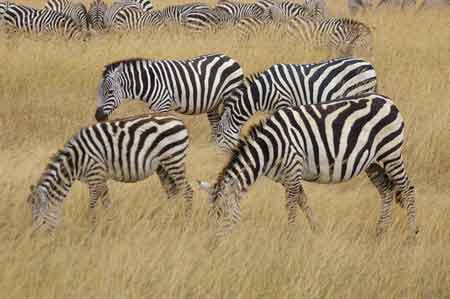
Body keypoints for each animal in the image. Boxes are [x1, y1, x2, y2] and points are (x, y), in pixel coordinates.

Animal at [26, 115, 193, 232]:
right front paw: (110, 224)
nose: (34, 238)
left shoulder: (95, 175)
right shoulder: (101, 177)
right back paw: (169, 219)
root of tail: (179, 121)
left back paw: (186, 221)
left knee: (187, 191)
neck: (76, 160)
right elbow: (106, 202)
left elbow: (92, 205)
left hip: (173, 160)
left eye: (39, 221)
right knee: (172, 193)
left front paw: (91, 228)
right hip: (162, 167)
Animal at [93, 54, 244, 135]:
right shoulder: (154, 108)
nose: (98, 116)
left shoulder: (163, 105)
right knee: (215, 122)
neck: (149, 81)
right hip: (213, 104)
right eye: (98, 92)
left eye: (110, 92)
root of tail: (229, 58)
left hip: (230, 95)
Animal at [199, 94, 416, 244]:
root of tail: (387, 100)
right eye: (209, 217)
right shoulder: (284, 176)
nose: (211, 246)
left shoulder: (293, 167)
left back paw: (412, 234)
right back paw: (380, 232)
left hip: (391, 153)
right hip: (373, 163)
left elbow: (291, 204)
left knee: (407, 188)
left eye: (221, 215)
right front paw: (316, 229)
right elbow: (303, 201)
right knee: (386, 191)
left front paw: (290, 236)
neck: (271, 147)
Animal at [216, 58, 378, 152]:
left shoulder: (283, 102)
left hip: (361, 90)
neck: (262, 91)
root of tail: (368, 64)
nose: (217, 159)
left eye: (218, 135)